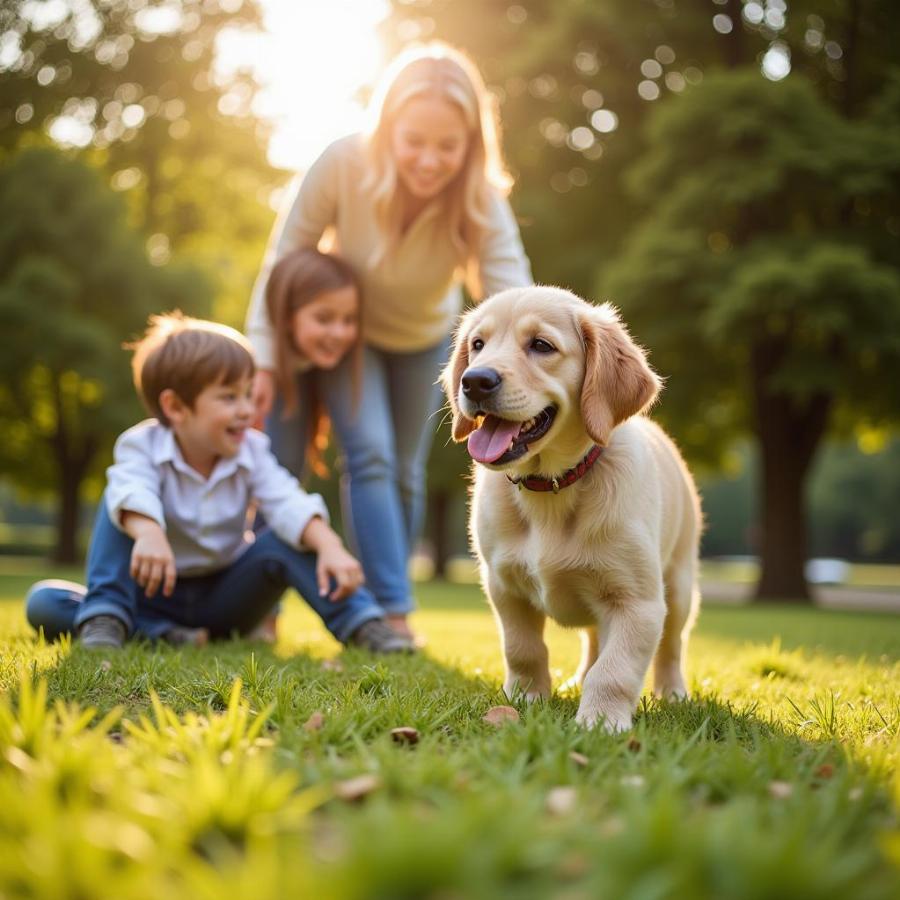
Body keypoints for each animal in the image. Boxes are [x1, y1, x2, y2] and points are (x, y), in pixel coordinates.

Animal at [442, 288, 704, 732]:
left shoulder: (638, 602)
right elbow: (523, 649)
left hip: (679, 583)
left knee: (671, 645)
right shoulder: (504, 586)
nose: (474, 381)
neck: (551, 486)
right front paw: (526, 698)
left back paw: (673, 694)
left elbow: (615, 670)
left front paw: (600, 723)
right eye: (477, 345)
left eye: (541, 345)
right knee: (595, 639)